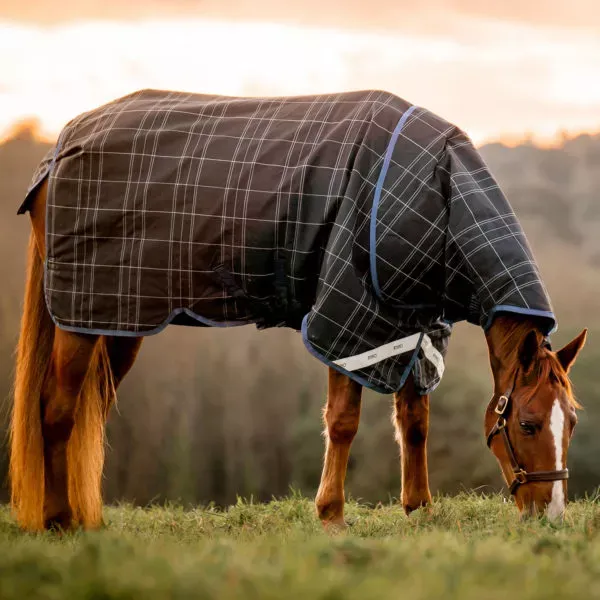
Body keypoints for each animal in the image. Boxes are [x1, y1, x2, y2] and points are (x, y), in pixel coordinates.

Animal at [9, 88, 584, 528]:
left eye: (573, 422)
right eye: (528, 424)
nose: (552, 516)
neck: (440, 196)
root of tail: (60, 148)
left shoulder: (416, 324)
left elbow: (415, 419)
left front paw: (418, 509)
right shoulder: (351, 314)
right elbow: (344, 421)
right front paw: (331, 514)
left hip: (119, 321)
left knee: (93, 411)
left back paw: (87, 517)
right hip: (83, 315)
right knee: (57, 409)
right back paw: (60, 521)